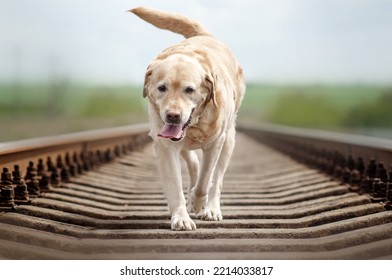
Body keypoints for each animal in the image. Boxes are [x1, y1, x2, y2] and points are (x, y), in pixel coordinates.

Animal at [130, 6, 245, 231]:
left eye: (189, 89)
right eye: (162, 88)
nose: (173, 115)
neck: (195, 124)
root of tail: (205, 35)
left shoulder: (215, 143)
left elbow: (205, 181)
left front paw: (198, 203)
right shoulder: (165, 146)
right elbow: (175, 186)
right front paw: (181, 217)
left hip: (229, 140)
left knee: (216, 179)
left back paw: (211, 209)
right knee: (193, 164)